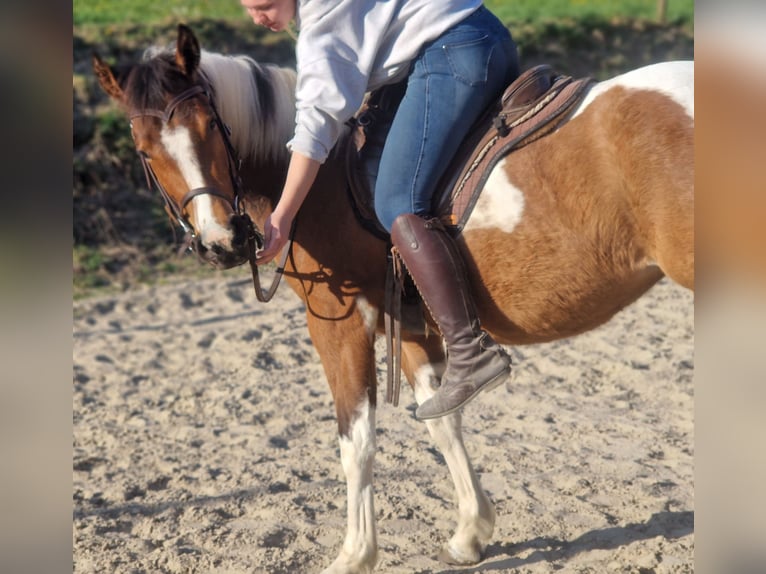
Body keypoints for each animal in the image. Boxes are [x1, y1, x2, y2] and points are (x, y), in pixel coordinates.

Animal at [92, 24, 693, 574]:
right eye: (147, 151)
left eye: (211, 130)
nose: (223, 242)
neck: (318, 179)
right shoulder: (416, 324)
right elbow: (442, 420)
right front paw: (471, 531)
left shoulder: (340, 326)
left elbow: (355, 439)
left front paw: (355, 554)